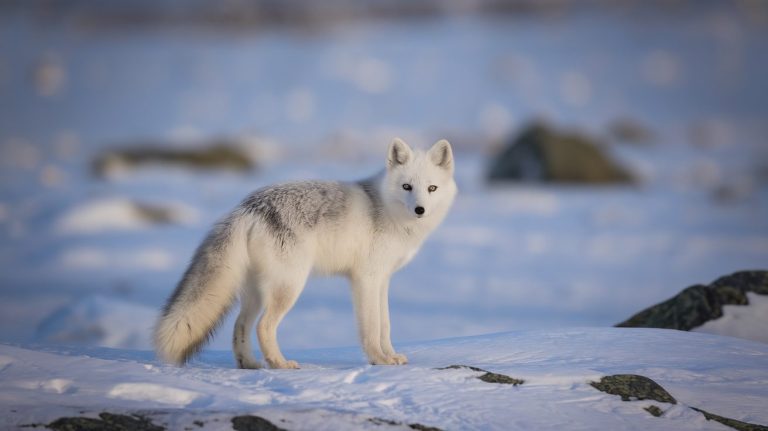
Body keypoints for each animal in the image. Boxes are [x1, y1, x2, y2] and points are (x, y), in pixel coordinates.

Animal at [155, 138, 456, 368]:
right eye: (407, 187)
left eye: (431, 188)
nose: (420, 210)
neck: (384, 207)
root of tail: (248, 207)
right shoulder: (366, 279)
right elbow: (371, 328)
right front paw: (378, 360)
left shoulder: (382, 280)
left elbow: (385, 325)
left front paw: (390, 356)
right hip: (290, 286)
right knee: (263, 327)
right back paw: (280, 364)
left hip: (256, 293)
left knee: (240, 326)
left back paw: (250, 365)